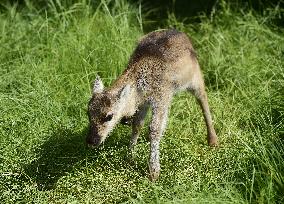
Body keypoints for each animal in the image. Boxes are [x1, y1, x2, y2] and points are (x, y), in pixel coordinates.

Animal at [86, 29, 217, 182]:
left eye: (109, 116)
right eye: (88, 113)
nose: (91, 140)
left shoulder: (161, 97)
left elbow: (154, 129)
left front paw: (154, 172)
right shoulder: (143, 103)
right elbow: (137, 125)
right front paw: (130, 158)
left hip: (195, 78)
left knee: (203, 99)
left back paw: (213, 140)